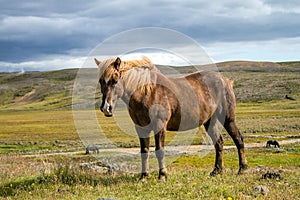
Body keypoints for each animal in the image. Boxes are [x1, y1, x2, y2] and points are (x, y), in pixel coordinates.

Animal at [94, 55, 248, 180]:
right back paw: (216, 171)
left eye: (114, 80)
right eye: (101, 81)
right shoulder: (141, 128)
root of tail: (225, 81)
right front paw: (144, 177)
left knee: (238, 139)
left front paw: (162, 176)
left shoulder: (159, 126)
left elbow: (159, 151)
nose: (105, 108)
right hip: (209, 121)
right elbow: (144, 151)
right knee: (219, 143)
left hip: (228, 119)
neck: (147, 92)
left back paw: (242, 169)